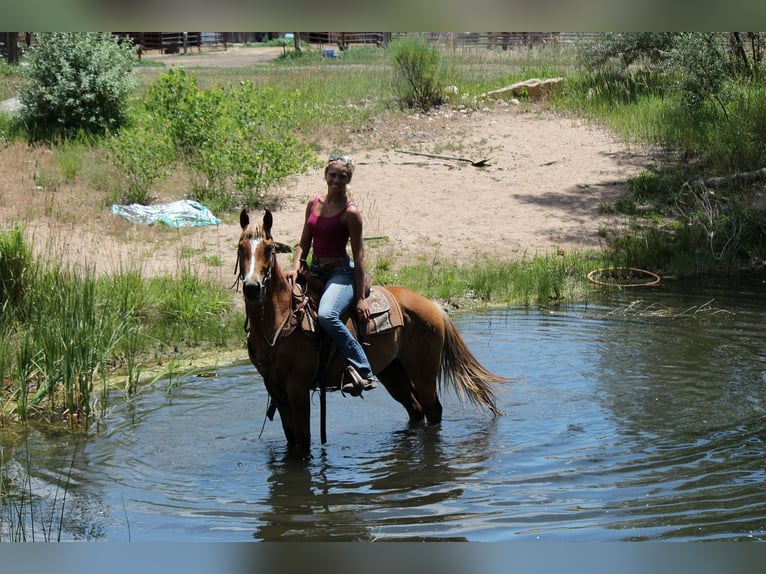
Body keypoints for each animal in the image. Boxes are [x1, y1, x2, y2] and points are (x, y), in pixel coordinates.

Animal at [237, 209, 507, 450]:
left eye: (269, 248)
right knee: (416, 409)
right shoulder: (276, 389)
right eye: (241, 247)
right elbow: (292, 440)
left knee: (433, 410)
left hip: (423, 372)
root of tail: (433, 306)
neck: (282, 320)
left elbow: (303, 442)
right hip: (392, 371)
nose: (252, 287)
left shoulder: (298, 388)